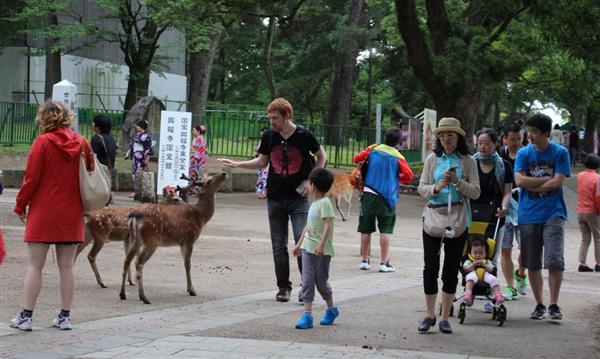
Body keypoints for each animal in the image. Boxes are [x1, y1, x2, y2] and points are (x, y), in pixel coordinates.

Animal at [119, 173, 227, 306]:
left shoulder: (181, 242)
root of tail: (133, 216)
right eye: (209, 181)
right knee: (139, 262)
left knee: (126, 260)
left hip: (135, 239)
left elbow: (185, 263)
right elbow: (188, 264)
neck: (200, 217)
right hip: (152, 239)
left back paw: (122, 294)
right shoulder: (190, 238)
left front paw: (189, 288)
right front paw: (192, 290)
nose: (224, 173)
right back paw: (143, 297)